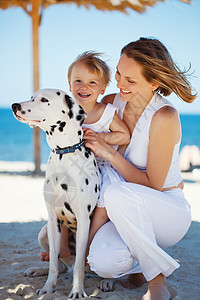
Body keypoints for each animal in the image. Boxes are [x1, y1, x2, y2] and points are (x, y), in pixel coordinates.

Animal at [11, 88, 101, 298]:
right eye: (31, 97)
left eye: (44, 100)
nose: (14, 105)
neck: (64, 154)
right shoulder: (52, 220)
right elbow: (53, 261)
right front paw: (48, 288)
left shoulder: (84, 220)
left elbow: (79, 266)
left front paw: (77, 290)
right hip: (43, 233)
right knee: (62, 266)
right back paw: (38, 270)